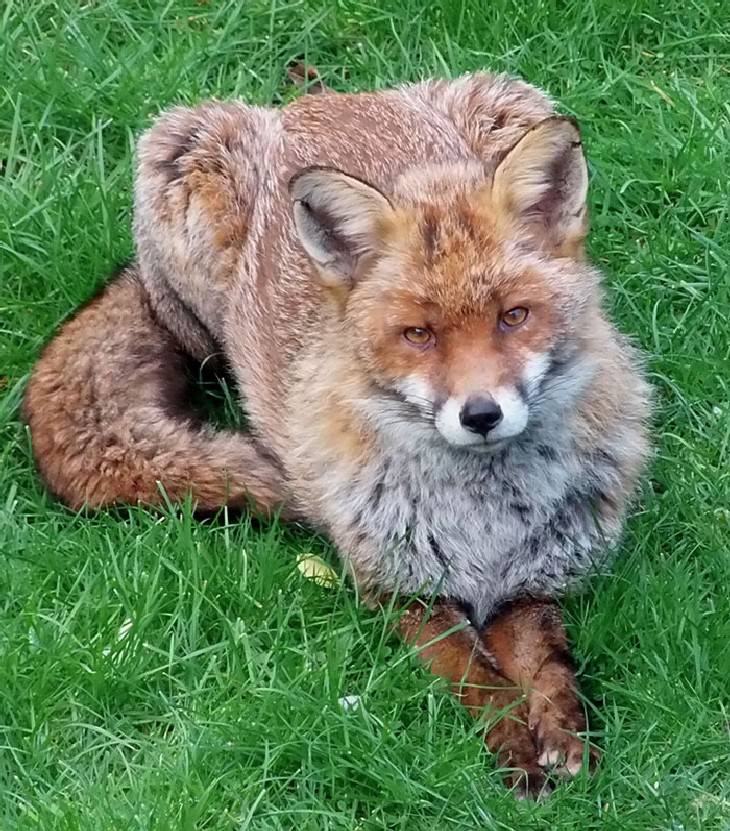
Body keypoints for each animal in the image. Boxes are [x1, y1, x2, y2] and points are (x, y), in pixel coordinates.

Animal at [22, 71, 648, 800]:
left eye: (514, 317)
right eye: (418, 334)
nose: (481, 414)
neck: (482, 522)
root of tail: (321, 101)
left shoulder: (531, 581)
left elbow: (548, 666)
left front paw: (564, 738)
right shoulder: (400, 589)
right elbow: (478, 678)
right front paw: (517, 748)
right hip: (180, 188)